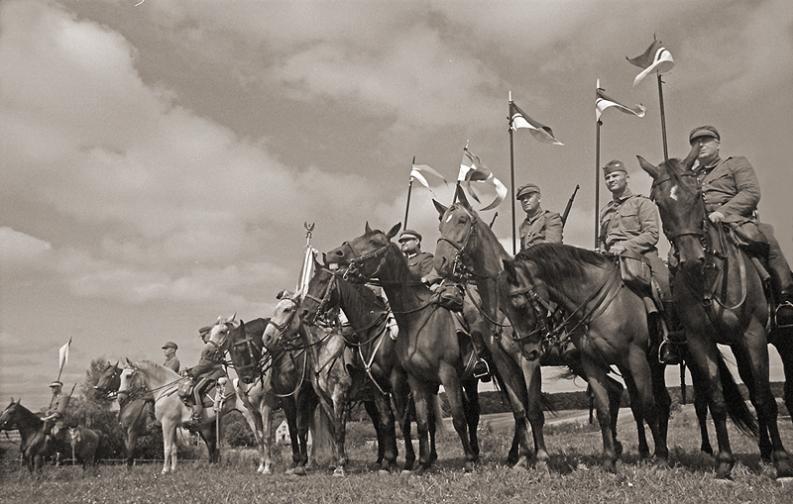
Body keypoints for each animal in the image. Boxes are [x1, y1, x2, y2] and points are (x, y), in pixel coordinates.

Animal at [296, 260, 446, 472]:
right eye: (309, 284)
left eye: (323, 281)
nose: (304, 312)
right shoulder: (333, 397)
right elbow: (343, 427)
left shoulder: (348, 392)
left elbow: (398, 422)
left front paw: (341, 466)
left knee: (427, 421)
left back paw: (428, 458)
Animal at [324, 224, 482, 472]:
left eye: (375, 242)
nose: (334, 253)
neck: (417, 320)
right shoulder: (409, 380)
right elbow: (417, 422)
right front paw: (417, 463)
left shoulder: (443, 374)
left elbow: (454, 418)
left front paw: (466, 462)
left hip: (469, 378)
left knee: (473, 413)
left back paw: (478, 455)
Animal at [430, 192, 640, 464]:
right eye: (440, 225)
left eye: (462, 220)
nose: (441, 262)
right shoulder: (503, 362)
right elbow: (519, 410)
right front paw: (522, 457)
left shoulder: (527, 358)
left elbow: (534, 410)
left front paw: (540, 456)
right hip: (581, 361)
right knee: (613, 391)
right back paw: (614, 445)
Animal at [498, 244, 672, 472]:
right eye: (503, 308)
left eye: (518, 304)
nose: (529, 351)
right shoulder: (592, 363)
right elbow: (603, 411)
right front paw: (609, 460)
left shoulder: (637, 358)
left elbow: (648, 407)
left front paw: (660, 458)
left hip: (653, 364)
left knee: (660, 402)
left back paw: (661, 452)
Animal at [636, 150, 792, 480]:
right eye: (659, 202)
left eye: (698, 194)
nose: (691, 257)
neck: (707, 276)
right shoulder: (700, 341)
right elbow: (717, 400)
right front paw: (724, 462)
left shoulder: (753, 336)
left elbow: (764, 398)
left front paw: (783, 462)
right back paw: (763, 450)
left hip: (779, 340)